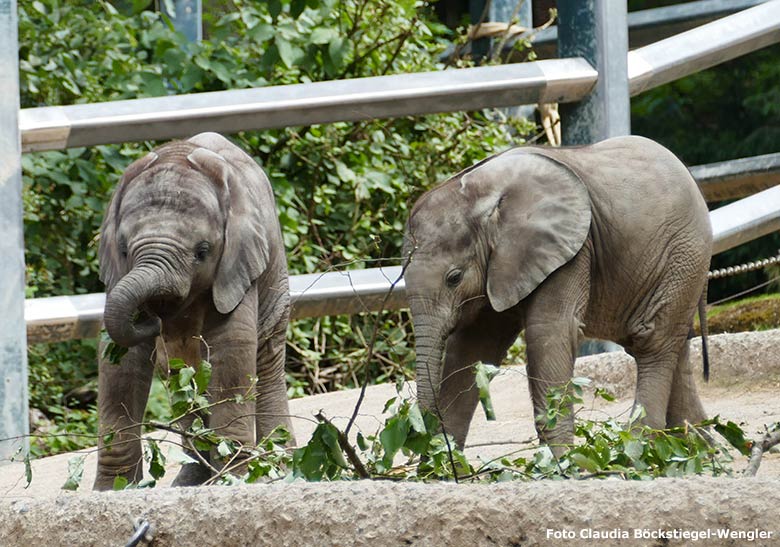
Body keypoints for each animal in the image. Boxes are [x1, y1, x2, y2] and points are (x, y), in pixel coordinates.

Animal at [94, 132, 294, 488]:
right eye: (123, 249)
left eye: (203, 251)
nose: (152, 317)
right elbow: (120, 359)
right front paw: (112, 491)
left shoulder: (238, 264)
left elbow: (232, 345)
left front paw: (234, 480)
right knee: (184, 375)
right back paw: (192, 478)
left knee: (266, 360)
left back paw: (279, 468)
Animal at [406, 136, 708, 454]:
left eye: (454, 278)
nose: (417, 432)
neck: (481, 193)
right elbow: (473, 347)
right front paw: (444, 461)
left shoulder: (571, 251)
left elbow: (548, 333)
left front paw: (561, 461)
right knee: (673, 348)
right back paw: (704, 446)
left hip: (683, 254)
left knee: (652, 342)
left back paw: (636, 451)